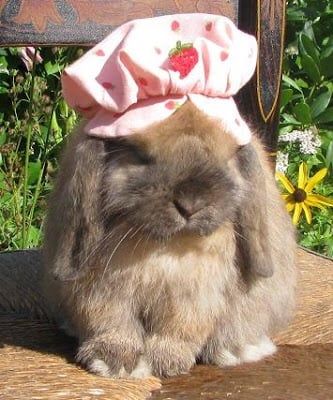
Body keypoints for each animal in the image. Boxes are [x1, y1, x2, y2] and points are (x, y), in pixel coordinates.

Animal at [41, 100, 296, 378]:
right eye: (141, 156)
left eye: (223, 157)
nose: (190, 204)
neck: (167, 244)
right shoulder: (101, 291)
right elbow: (111, 322)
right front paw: (115, 363)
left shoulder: (195, 295)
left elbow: (180, 328)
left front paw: (165, 362)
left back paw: (235, 351)